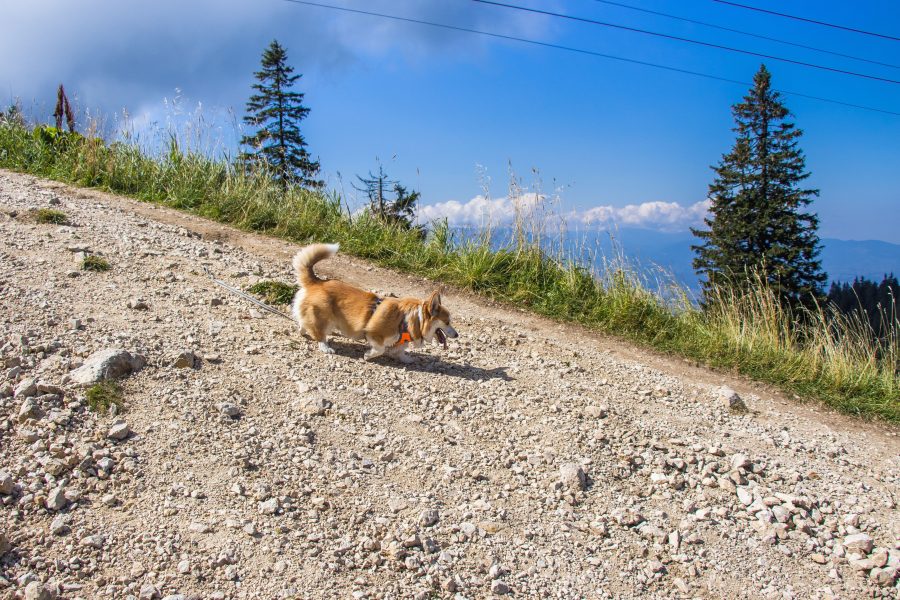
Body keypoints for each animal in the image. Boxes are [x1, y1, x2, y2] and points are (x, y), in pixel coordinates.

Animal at [290, 243, 458, 360]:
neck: (414, 318)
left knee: (304, 323)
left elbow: (399, 350)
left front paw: (405, 358)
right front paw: (368, 355)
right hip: (325, 317)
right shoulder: (373, 333)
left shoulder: (400, 341)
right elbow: (380, 349)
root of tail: (316, 281)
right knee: (318, 332)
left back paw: (302, 331)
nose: (457, 335)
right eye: (447, 322)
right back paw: (325, 347)